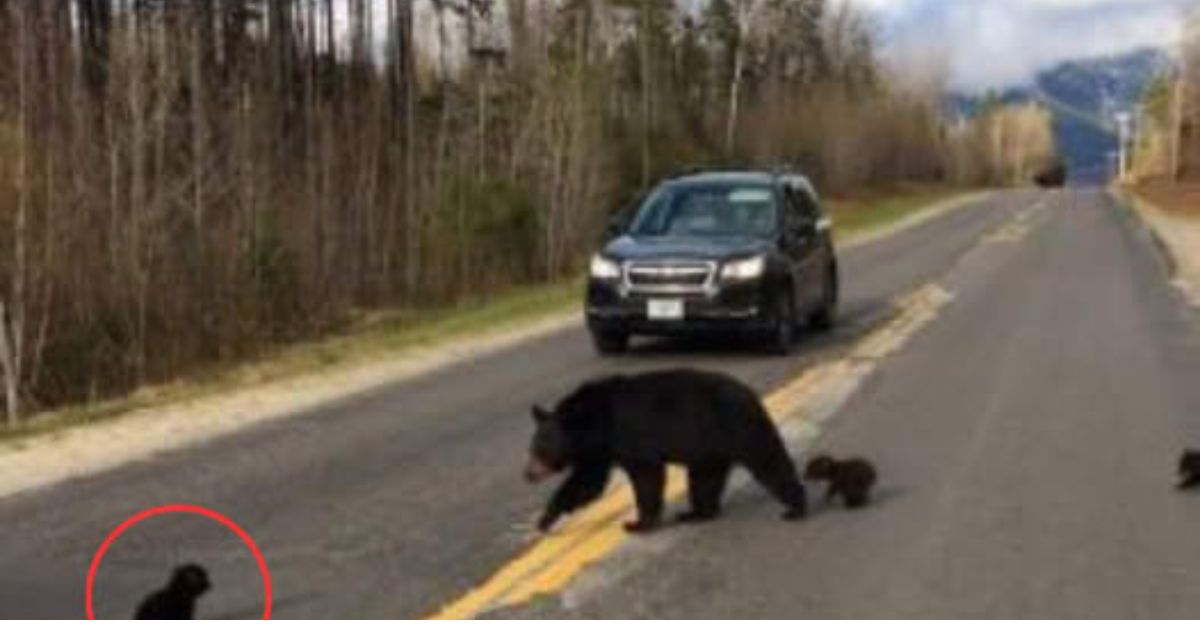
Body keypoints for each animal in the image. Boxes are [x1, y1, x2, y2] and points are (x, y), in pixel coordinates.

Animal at [525, 365, 806, 530]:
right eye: (532, 447)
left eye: (540, 448)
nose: (527, 474)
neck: (596, 421)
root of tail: (751, 393)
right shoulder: (599, 451)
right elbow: (586, 482)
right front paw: (545, 519)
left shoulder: (630, 436)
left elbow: (646, 477)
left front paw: (637, 523)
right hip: (709, 448)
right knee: (704, 480)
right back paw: (696, 513)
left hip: (739, 426)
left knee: (768, 459)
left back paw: (795, 507)